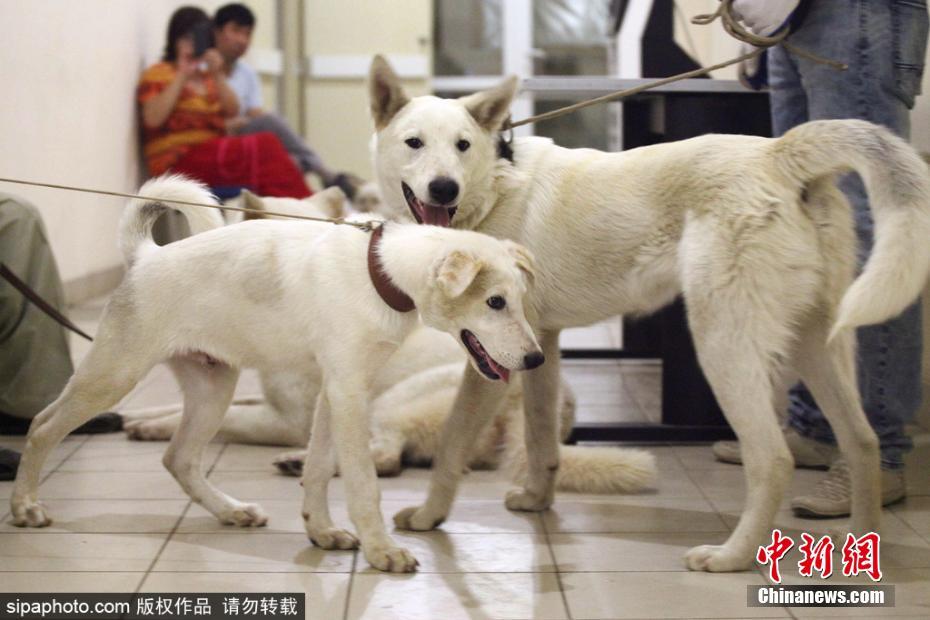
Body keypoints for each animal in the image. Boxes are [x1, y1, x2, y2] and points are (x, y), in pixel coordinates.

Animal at [10, 174, 548, 572]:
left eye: (519, 301)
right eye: (494, 302)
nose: (536, 361)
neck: (379, 273)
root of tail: (147, 257)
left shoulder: (334, 395)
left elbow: (318, 469)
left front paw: (321, 530)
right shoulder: (348, 394)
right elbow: (361, 483)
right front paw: (381, 551)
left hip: (213, 388)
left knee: (178, 458)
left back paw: (230, 510)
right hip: (112, 375)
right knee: (42, 426)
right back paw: (25, 505)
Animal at [123, 191, 656, 496]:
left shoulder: (286, 418)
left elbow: (233, 418)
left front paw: (150, 428)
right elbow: (178, 409)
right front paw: (138, 420)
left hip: (394, 400)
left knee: (386, 456)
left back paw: (303, 463)